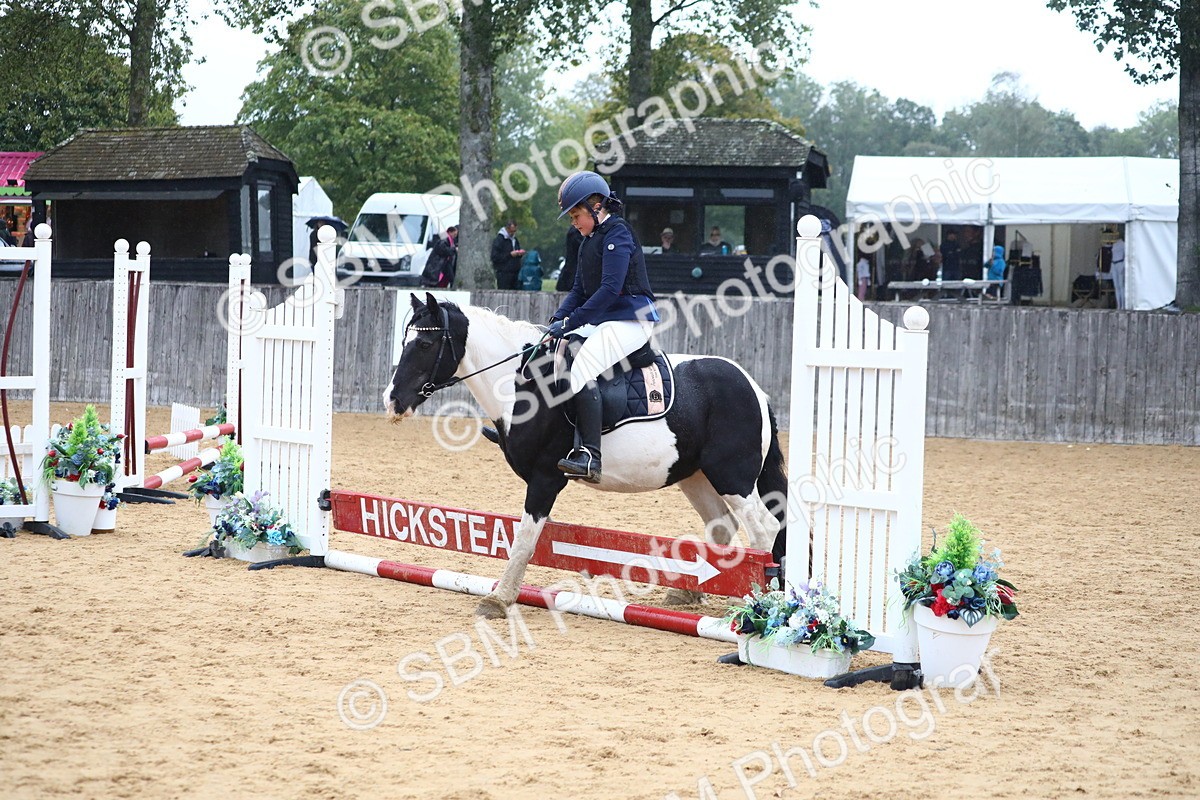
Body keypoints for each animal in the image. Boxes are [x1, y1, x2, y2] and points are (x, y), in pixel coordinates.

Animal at [385, 293, 787, 619]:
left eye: (425, 343)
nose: (393, 400)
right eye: (404, 341)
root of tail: (753, 387)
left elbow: (524, 540)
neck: (523, 384)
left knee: (764, 528)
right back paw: (688, 593)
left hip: (732, 475)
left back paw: (758, 602)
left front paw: (498, 600)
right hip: (696, 477)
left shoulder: (545, 479)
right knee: (721, 526)